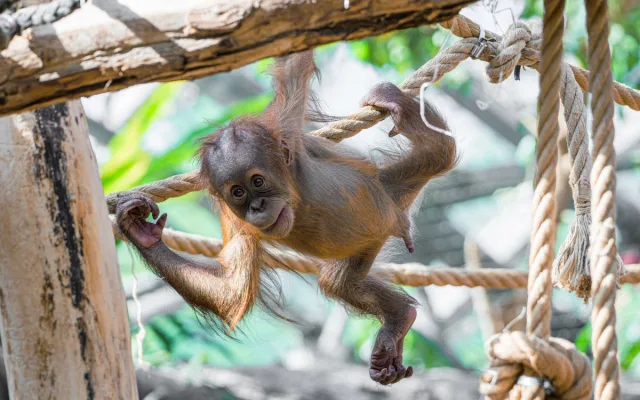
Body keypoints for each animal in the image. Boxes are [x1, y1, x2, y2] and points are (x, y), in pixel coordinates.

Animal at [115, 50, 457, 385]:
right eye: (237, 192)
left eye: (257, 181)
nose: (257, 206)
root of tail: (394, 208)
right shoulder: (235, 221)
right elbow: (231, 292)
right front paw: (141, 232)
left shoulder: (285, 127)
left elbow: (294, 68)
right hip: (369, 238)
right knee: (340, 282)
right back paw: (398, 318)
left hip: (391, 186)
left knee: (440, 150)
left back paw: (395, 101)